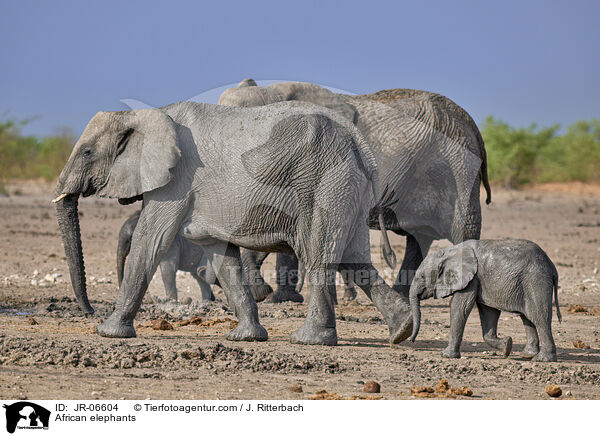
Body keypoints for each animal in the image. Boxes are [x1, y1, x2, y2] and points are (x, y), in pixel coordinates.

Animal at [54, 100, 412, 346]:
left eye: (87, 153)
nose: (89, 311)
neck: (148, 114)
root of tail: (359, 141)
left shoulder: (177, 181)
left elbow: (151, 240)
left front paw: (108, 332)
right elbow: (219, 254)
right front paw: (247, 338)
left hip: (325, 183)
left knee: (318, 255)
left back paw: (309, 340)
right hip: (348, 187)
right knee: (355, 258)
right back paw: (403, 330)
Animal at [218, 78, 490, 304]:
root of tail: (472, 126)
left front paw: (274, 298)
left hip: (456, 167)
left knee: (461, 228)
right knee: (418, 237)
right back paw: (404, 295)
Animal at [410, 238, 560, 362]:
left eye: (422, 276)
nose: (412, 341)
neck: (449, 252)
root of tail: (552, 266)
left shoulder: (471, 279)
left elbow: (460, 307)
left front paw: (446, 355)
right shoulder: (480, 281)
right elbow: (489, 312)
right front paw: (507, 345)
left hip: (536, 280)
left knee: (540, 317)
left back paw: (542, 359)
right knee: (527, 317)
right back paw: (528, 354)